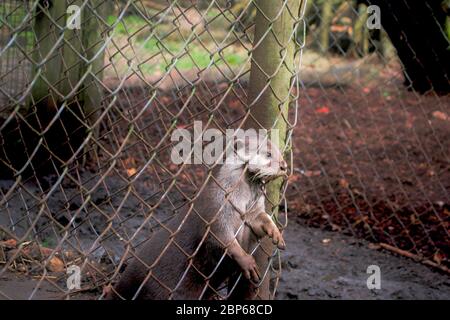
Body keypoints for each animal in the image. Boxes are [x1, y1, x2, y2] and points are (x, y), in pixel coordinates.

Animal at [107, 134, 286, 298]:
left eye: (280, 152)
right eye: (268, 154)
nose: (284, 166)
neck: (237, 198)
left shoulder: (252, 212)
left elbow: (262, 219)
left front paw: (276, 234)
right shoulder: (216, 211)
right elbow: (223, 238)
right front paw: (248, 262)